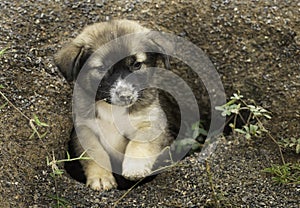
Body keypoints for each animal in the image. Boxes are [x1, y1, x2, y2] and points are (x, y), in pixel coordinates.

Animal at [54, 20, 179, 191]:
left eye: (137, 65)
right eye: (102, 68)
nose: (126, 95)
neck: (112, 109)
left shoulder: (152, 121)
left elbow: (139, 143)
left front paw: (135, 168)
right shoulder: (83, 130)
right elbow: (95, 152)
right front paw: (101, 178)